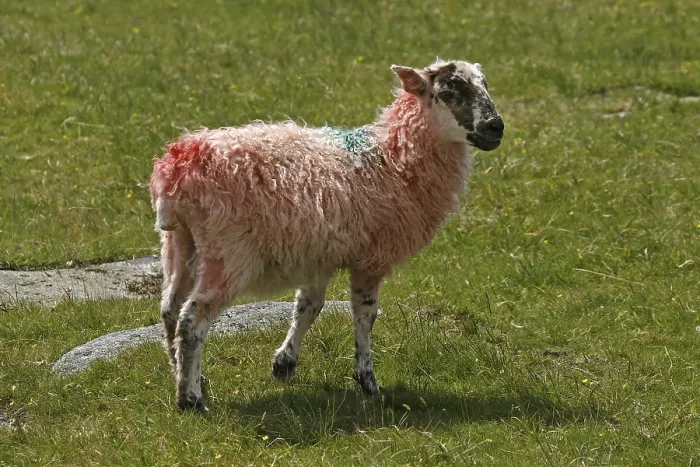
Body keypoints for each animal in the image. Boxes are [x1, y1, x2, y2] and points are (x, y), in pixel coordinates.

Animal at [150, 59, 504, 411]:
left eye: (485, 85)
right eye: (449, 91)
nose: (495, 127)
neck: (392, 158)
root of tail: (178, 166)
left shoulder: (316, 255)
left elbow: (309, 307)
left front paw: (284, 364)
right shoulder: (370, 257)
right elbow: (365, 313)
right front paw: (367, 381)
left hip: (179, 244)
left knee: (170, 310)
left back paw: (188, 376)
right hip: (228, 253)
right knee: (192, 319)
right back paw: (191, 399)